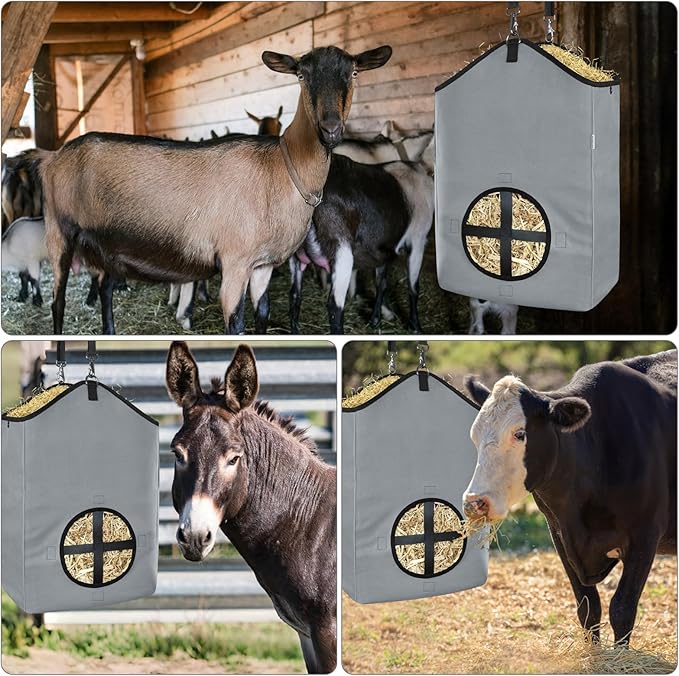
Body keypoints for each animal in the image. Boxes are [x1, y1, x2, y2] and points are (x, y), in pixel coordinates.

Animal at [40, 45, 392, 335]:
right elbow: (235, 323)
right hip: (59, 229)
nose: (330, 128)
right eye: (301, 75)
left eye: (354, 72)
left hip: (106, 244)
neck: (281, 168)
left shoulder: (263, 265)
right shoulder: (235, 262)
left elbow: (262, 315)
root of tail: (55, 158)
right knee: (58, 300)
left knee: (104, 289)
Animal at [290, 153, 434, 334]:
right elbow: (413, 287)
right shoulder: (418, 240)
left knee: (294, 296)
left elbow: (381, 283)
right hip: (342, 252)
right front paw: (415, 326)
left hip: (295, 255)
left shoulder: (383, 248)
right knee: (335, 306)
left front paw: (376, 320)